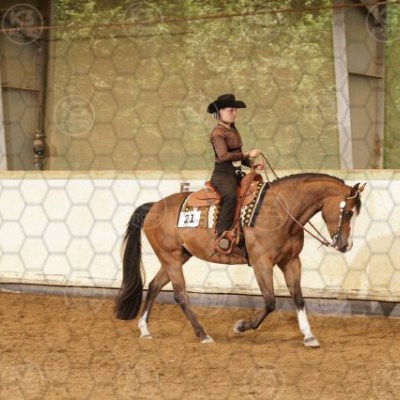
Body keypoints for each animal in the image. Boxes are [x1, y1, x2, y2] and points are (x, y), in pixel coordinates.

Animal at [115, 171, 366, 347]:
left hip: (178, 257)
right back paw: (203, 335)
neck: (280, 211)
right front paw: (240, 326)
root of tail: (153, 207)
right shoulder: (261, 263)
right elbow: (270, 302)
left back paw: (144, 329)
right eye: (348, 212)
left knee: (154, 285)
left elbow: (298, 298)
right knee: (180, 295)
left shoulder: (291, 261)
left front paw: (309, 336)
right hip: (171, 258)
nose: (346, 245)